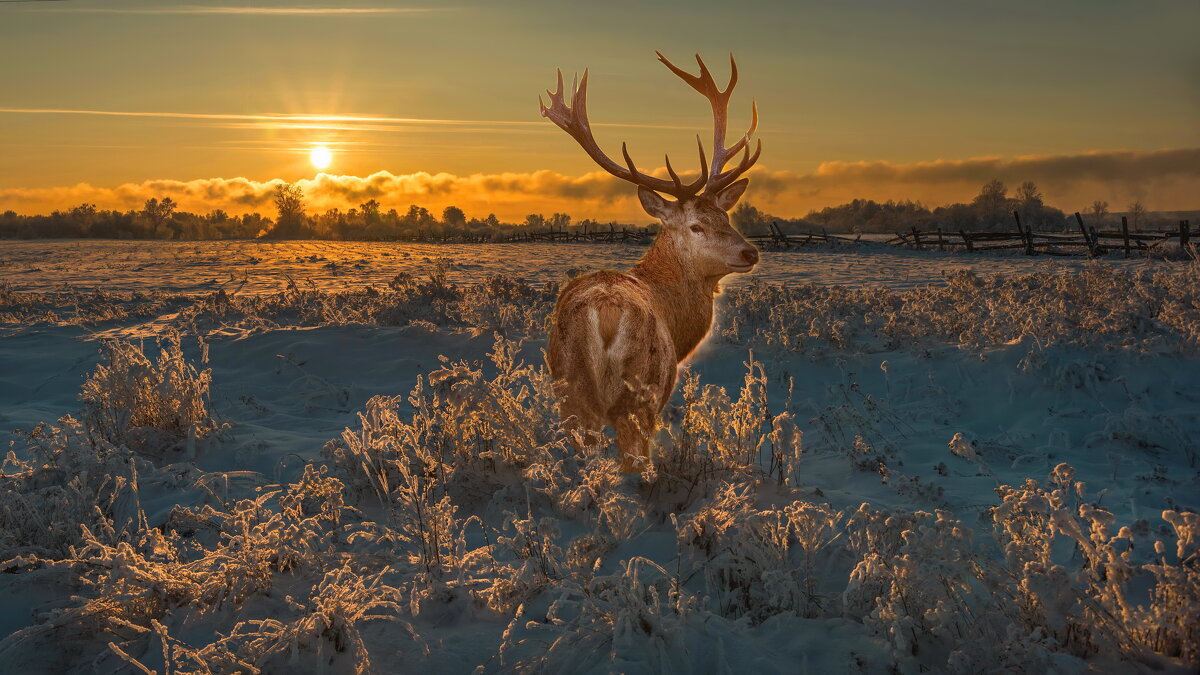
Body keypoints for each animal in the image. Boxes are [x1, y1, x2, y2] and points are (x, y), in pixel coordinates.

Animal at [542, 52, 758, 470]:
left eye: (726, 217)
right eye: (696, 226)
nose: (750, 252)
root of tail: (606, 313)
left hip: (570, 396)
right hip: (640, 396)